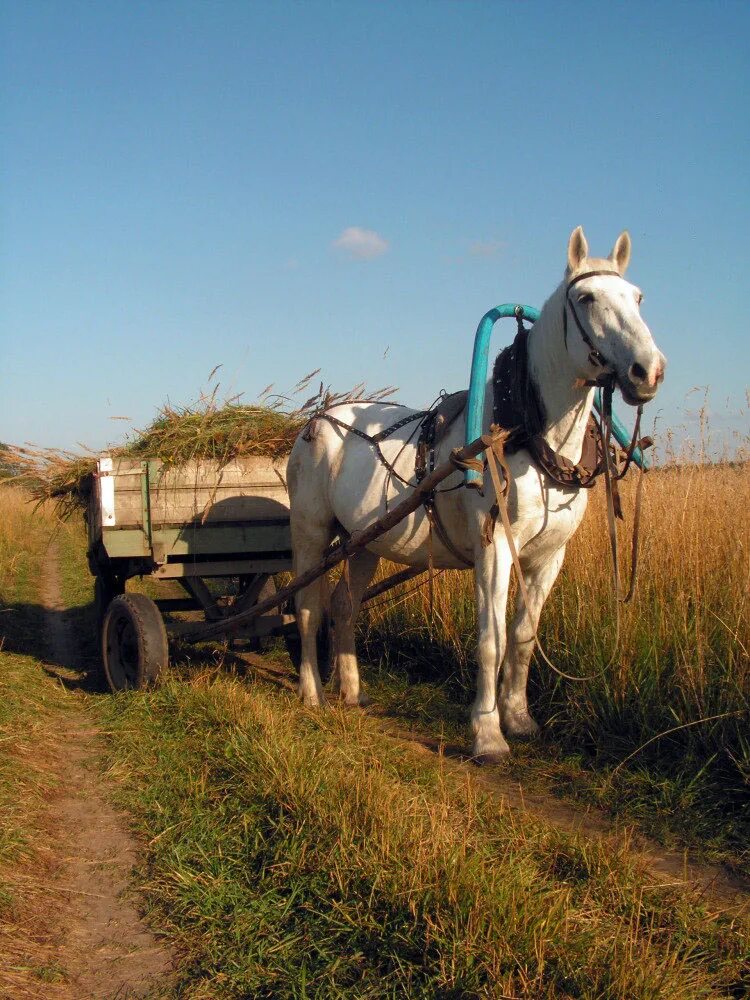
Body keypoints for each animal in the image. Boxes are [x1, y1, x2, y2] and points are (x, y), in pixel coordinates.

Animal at [286, 225, 664, 756]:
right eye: (587, 298)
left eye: (638, 297)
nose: (647, 371)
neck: (527, 436)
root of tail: (317, 419)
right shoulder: (495, 550)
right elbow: (492, 639)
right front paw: (487, 734)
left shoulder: (549, 556)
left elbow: (523, 636)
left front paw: (519, 718)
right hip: (311, 533)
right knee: (307, 607)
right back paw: (312, 692)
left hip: (364, 542)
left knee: (344, 604)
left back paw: (352, 690)